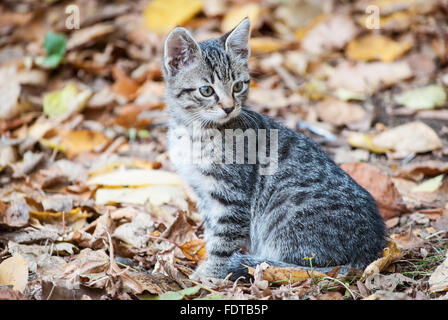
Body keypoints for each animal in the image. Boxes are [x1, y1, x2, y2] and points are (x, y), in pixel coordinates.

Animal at [163, 18, 386, 280]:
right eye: (206, 90)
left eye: (237, 86)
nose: (229, 107)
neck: (194, 130)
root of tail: (368, 253)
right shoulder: (204, 194)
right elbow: (211, 232)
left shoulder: (231, 196)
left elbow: (223, 240)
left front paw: (210, 274)